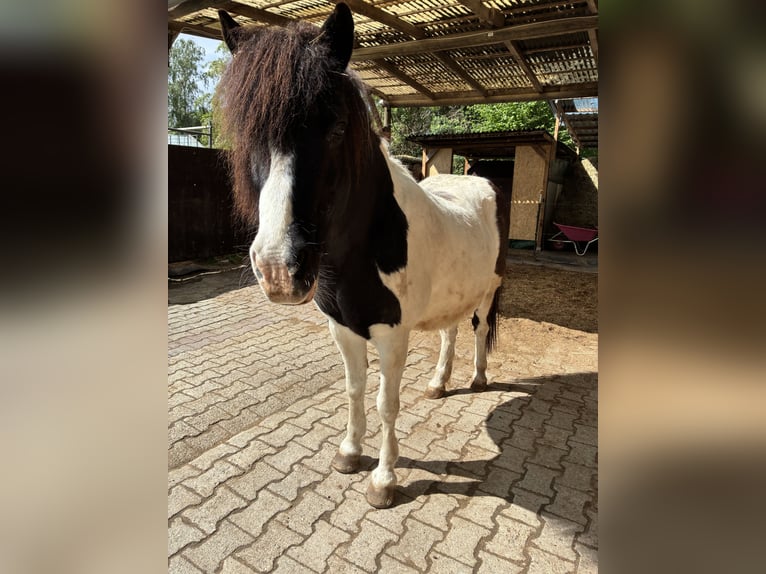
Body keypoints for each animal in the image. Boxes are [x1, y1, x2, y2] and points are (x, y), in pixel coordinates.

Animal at [217, 3, 510, 508]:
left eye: (336, 128)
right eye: (246, 133)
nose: (278, 270)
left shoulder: (392, 335)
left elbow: (385, 403)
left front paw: (383, 480)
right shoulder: (343, 328)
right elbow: (354, 391)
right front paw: (350, 454)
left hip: (489, 289)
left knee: (475, 329)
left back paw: (477, 379)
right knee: (450, 331)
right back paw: (438, 384)